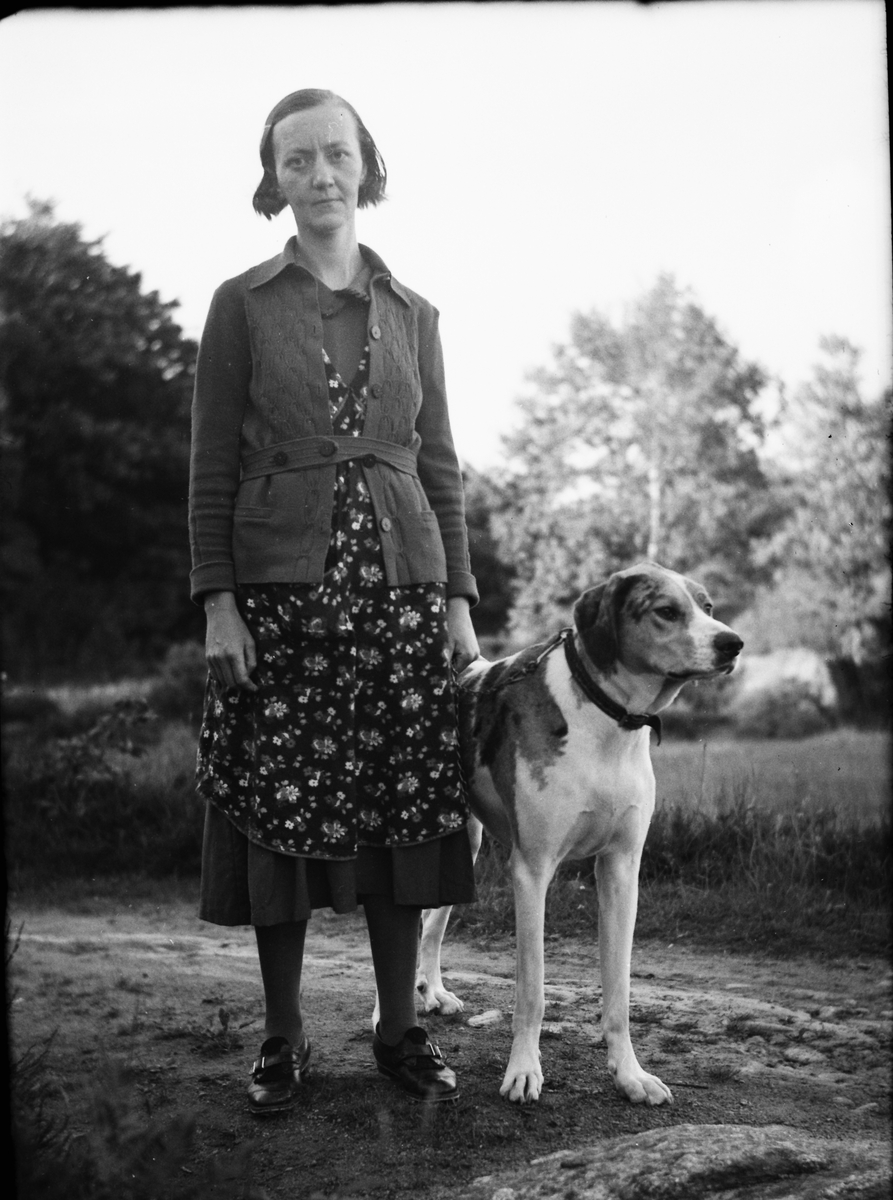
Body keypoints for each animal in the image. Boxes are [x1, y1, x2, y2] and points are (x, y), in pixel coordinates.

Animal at [410, 561, 739, 1104]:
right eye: (666, 611)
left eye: (707, 606)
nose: (732, 643)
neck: (607, 722)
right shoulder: (532, 871)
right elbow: (532, 992)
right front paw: (523, 1071)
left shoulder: (622, 870)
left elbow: (619, 992)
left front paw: (630, 1075)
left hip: (466, 843)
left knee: (429, 925)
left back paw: (432, 990)